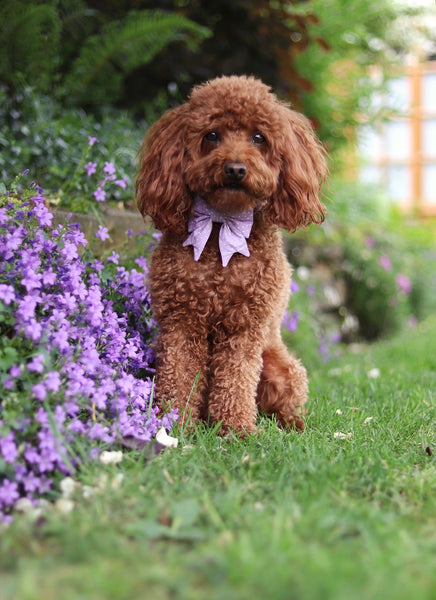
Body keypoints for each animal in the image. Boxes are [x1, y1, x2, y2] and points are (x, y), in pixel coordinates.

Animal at [136, 75, 328, 434]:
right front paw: (174, 423)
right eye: (211, 135)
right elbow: (179, 376)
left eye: (258, 138)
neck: (221, 224)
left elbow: (236, 379)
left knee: (282, 401)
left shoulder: (245, 327)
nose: (236, 169)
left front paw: (236, 430)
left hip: (282, 368)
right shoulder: (181, 321)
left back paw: (290, 425)